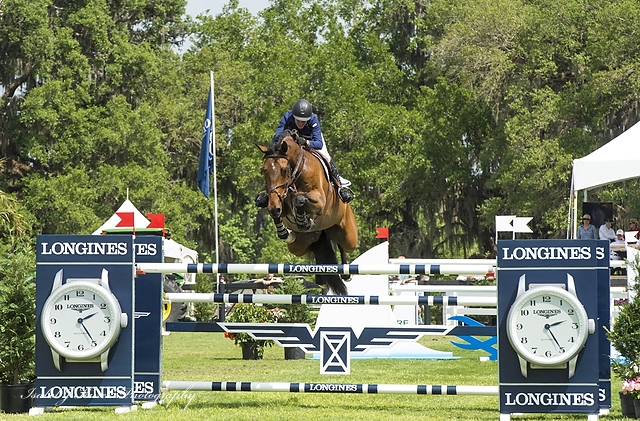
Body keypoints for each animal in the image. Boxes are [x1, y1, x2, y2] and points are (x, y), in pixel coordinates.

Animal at [260, 130, 360, 294]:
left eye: (284, 170)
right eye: (264, 170)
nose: (274, 206)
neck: (298, 170)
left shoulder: (320, 200)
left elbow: (300, 198)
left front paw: (302, 220)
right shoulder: (279, 200)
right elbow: (280, 210)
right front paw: (283, 230)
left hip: (349, 235)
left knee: (343, 245)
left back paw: (345, 273)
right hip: (298, 246)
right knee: (315, 248)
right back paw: (320, 278)